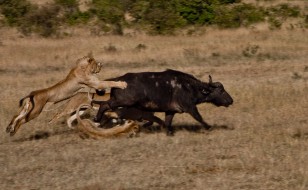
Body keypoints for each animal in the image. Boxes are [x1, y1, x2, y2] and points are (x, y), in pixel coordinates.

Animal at [92, 69, 232, 136]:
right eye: (221, 90)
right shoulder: (190, 107)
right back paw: (97, 119)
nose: (231, 100)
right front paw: (209, 127)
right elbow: (199, 118)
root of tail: (118, 79)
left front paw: (169, 133)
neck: (187, 86)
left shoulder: (170, 111)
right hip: (122, 101)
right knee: (104, 105)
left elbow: (167, 123)